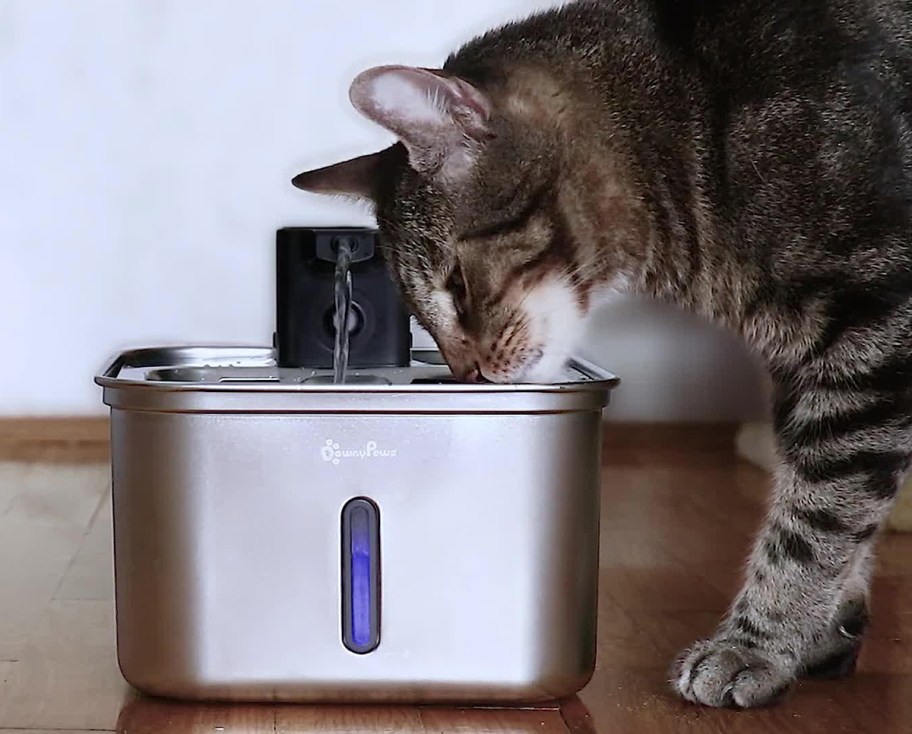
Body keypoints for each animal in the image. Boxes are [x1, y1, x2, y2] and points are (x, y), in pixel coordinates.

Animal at [290, 0, 912, 712]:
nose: (468, 374)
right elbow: (826, 496)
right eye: (420, 315)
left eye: (456, 287)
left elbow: (818, 514)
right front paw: (826, 629)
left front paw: (756, 644)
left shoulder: (870, 332)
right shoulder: (805, 360)